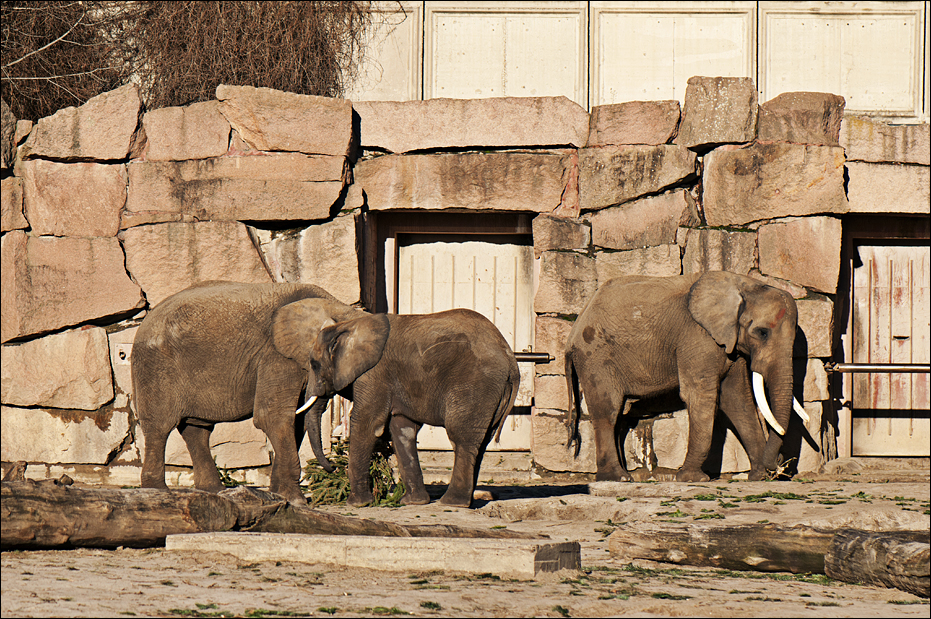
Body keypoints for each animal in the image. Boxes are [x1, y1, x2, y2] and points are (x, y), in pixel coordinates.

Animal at [132, 280, 361, 504]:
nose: (335, 467)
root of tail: (146, 319)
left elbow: (295, 421)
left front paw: (278, 496)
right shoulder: (276, 356)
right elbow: (273, 417)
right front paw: (297, 501)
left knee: (197, 430)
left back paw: (215, 491)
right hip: (155, 367)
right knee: (160, 427)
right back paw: (158, 491)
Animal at [284, 302, 520, 508]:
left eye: (314, 365)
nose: (332, 467)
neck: (349, 325)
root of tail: (510, 359)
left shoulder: (374, 374)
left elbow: (367, 424)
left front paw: (357, 504)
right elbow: (402, 429)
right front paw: (412, 502)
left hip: (474, 386)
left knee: (461, 438)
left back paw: (452, 503)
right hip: (492, 394)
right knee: (482, 442)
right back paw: (465, 501)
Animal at [564, 271, 809, 482]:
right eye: (762, 332)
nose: (781, 464)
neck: (743, 284)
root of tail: (576, 326)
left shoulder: (730, 343)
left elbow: (738, 399)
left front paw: (759, 477)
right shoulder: (697, 337)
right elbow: (701, 396)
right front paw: (692, 478)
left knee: (620, 413)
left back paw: (622, 475)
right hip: (595, 356)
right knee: (608, 409)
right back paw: (618, 478)